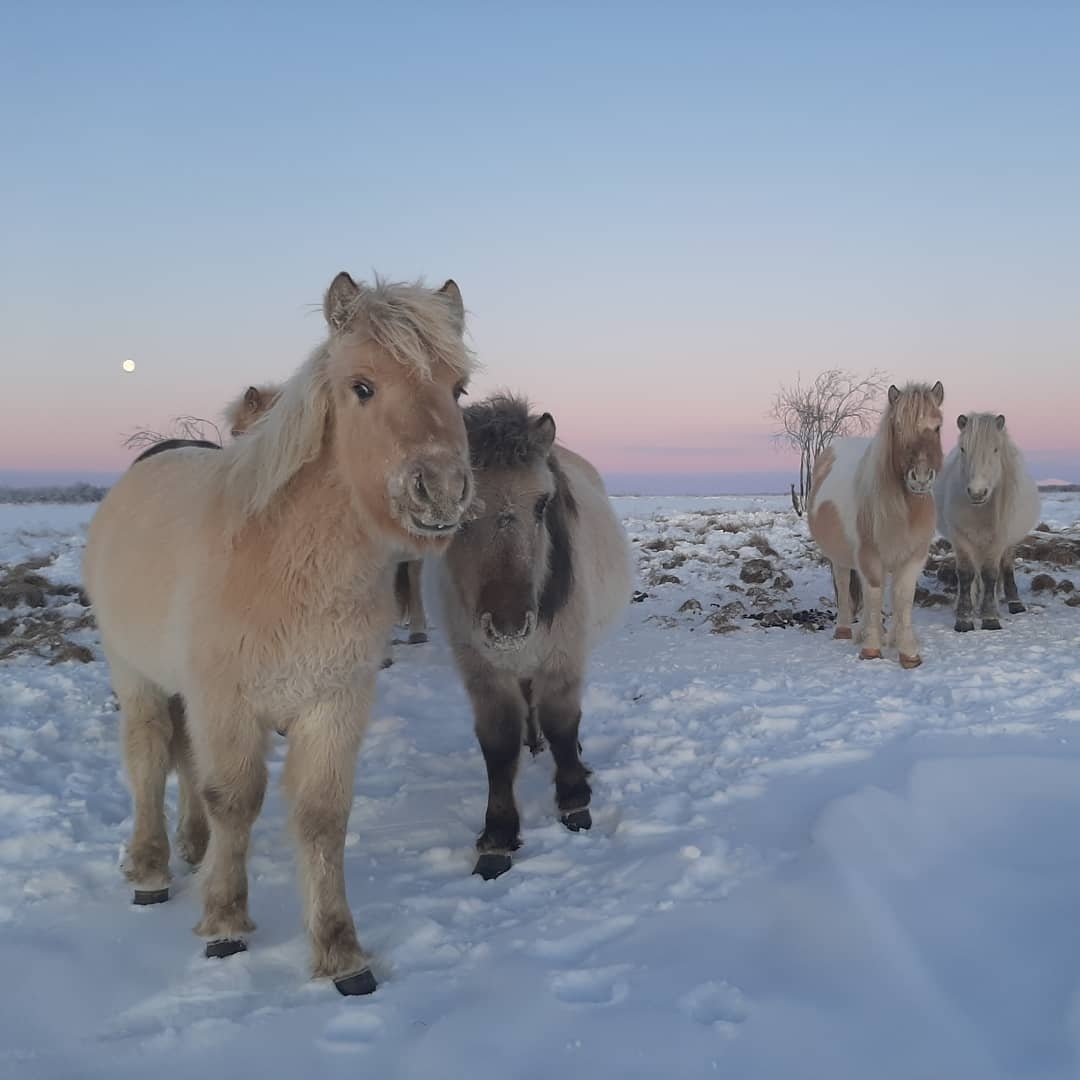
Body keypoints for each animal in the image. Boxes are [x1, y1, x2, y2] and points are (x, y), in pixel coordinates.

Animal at [432, 395, 630, 876]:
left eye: (542, 505)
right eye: (461, 508)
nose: (508, 624)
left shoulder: (563, 657)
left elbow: (562, 721)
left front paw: (575, 801)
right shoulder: (482, 672)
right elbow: (499, 743)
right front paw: (498, 837)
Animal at [807, 380, 941, 665]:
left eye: (937, 427)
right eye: (898, 426)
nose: (920, 478)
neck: (906, 511)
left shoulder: (914, 556)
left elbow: (902, 597)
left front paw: (907, 650)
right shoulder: (869, 556)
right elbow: (874, 592)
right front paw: (871, 648)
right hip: (841, 557)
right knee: (845, 584)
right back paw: (847, 630)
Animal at [933, 412, 1041, 630]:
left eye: (996, 449)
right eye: (963, 449)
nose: (977, 492)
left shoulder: (998, 541)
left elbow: (991, 574)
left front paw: (990, 618)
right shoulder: (961, 539)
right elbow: (966, 574)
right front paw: (964, 618)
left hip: (1007, 544)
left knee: (1005, 567)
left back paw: (1013, 603)